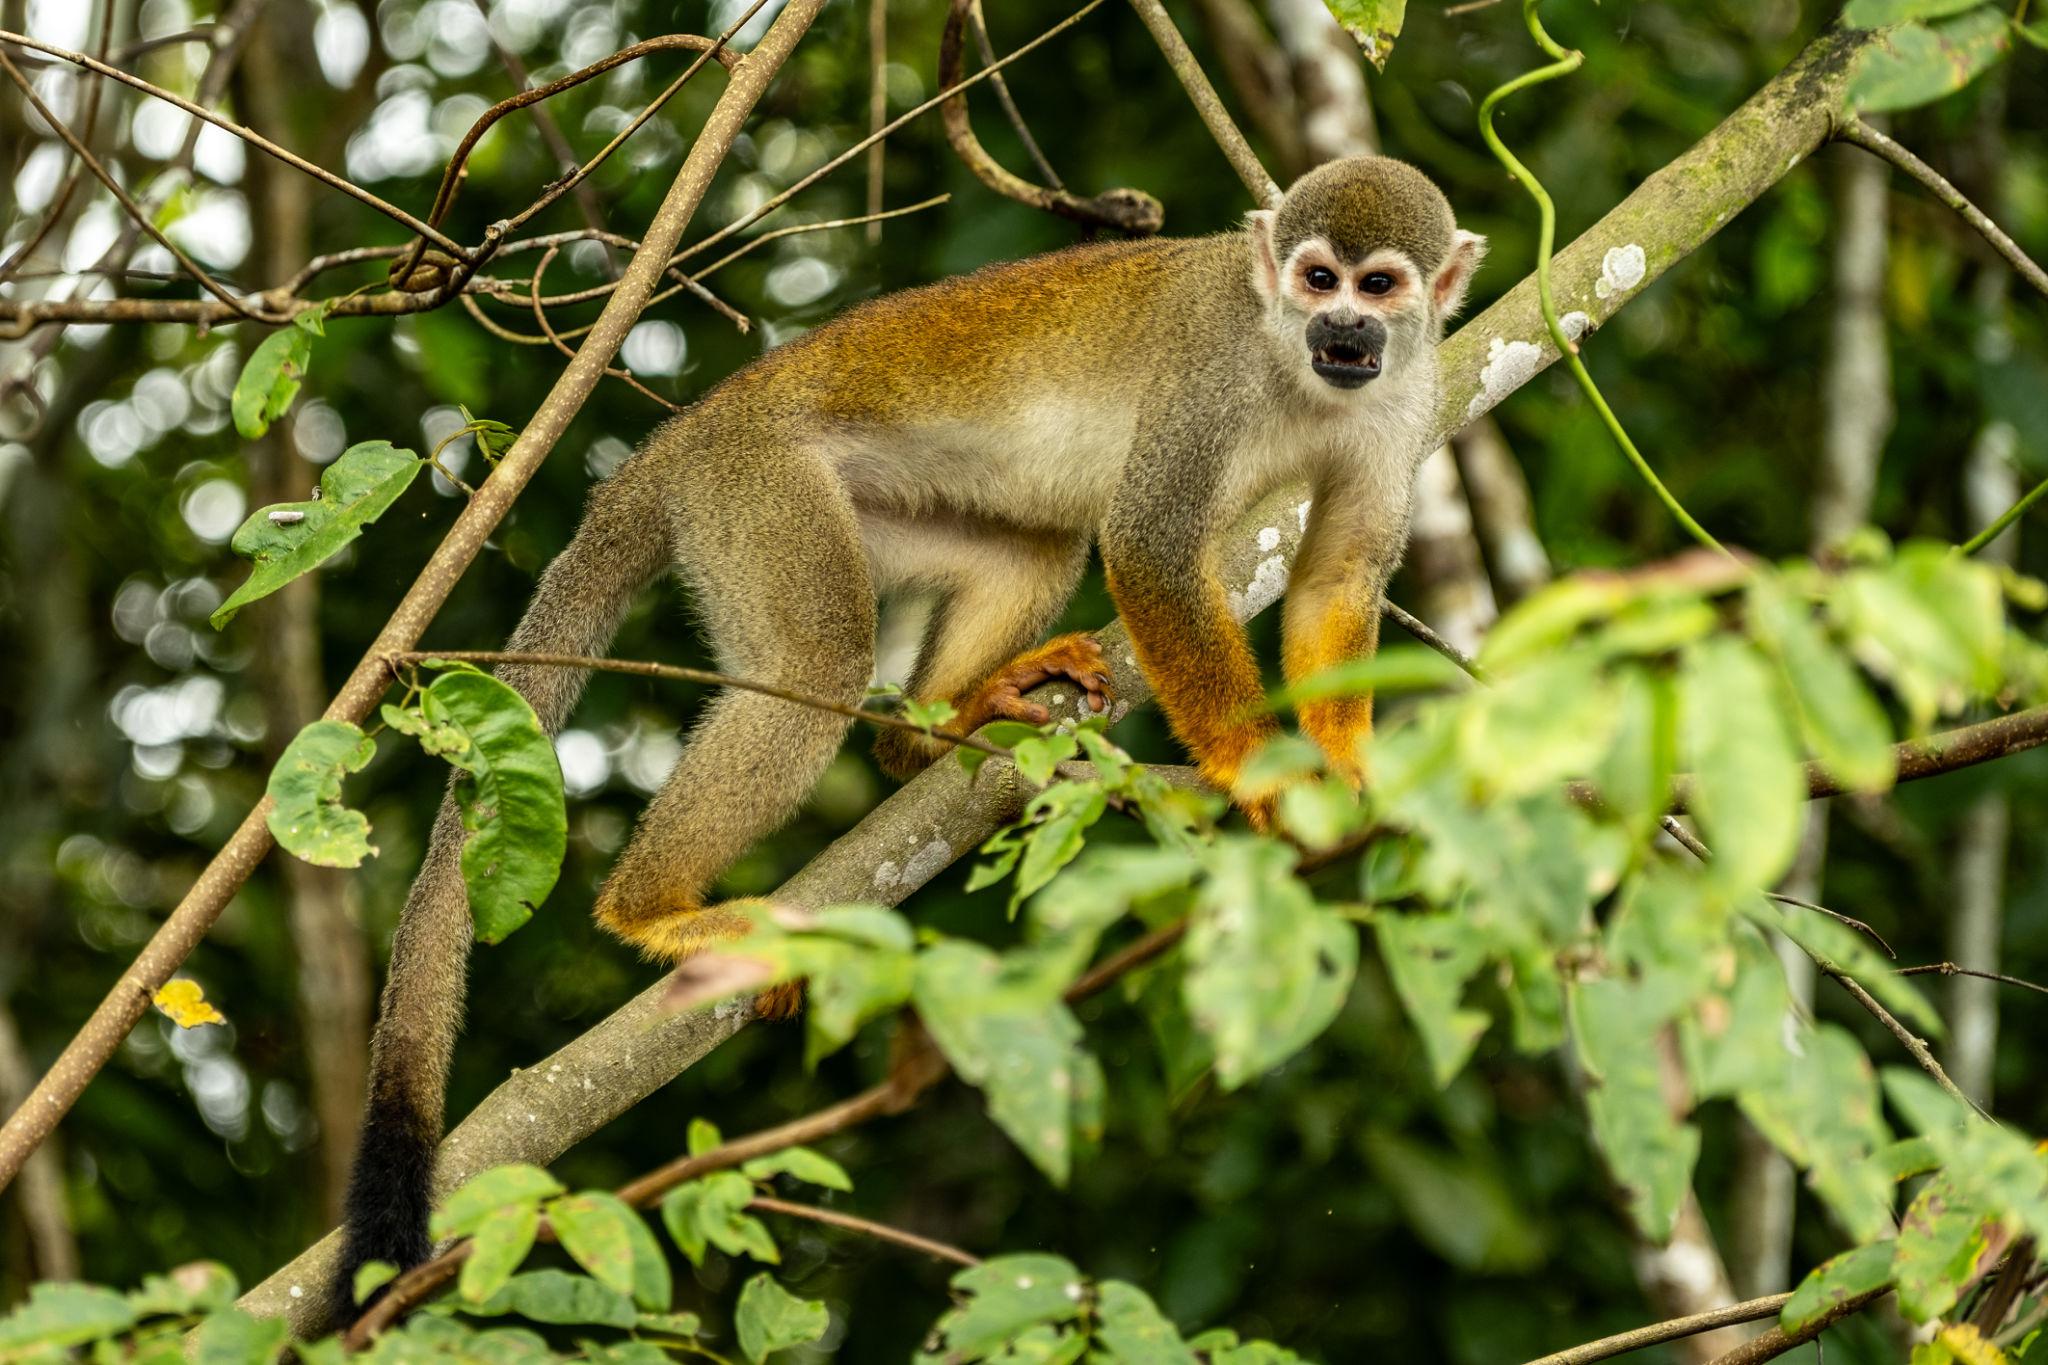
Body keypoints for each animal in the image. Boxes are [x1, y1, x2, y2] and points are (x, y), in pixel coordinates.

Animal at [332, 155, 1484, 1318]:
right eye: (1316, 278)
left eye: (1380, 286)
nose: (1342, 329)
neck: (1299, 374)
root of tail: (681, 436)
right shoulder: (1213, 371)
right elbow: (1151, 551)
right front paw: (1260, 773)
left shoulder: (1407, 400)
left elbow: (1337, 577)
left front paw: (1345, 766)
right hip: (758, 494)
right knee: (817, 669)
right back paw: (655, 909)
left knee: (1032, 549)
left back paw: (932, 740)